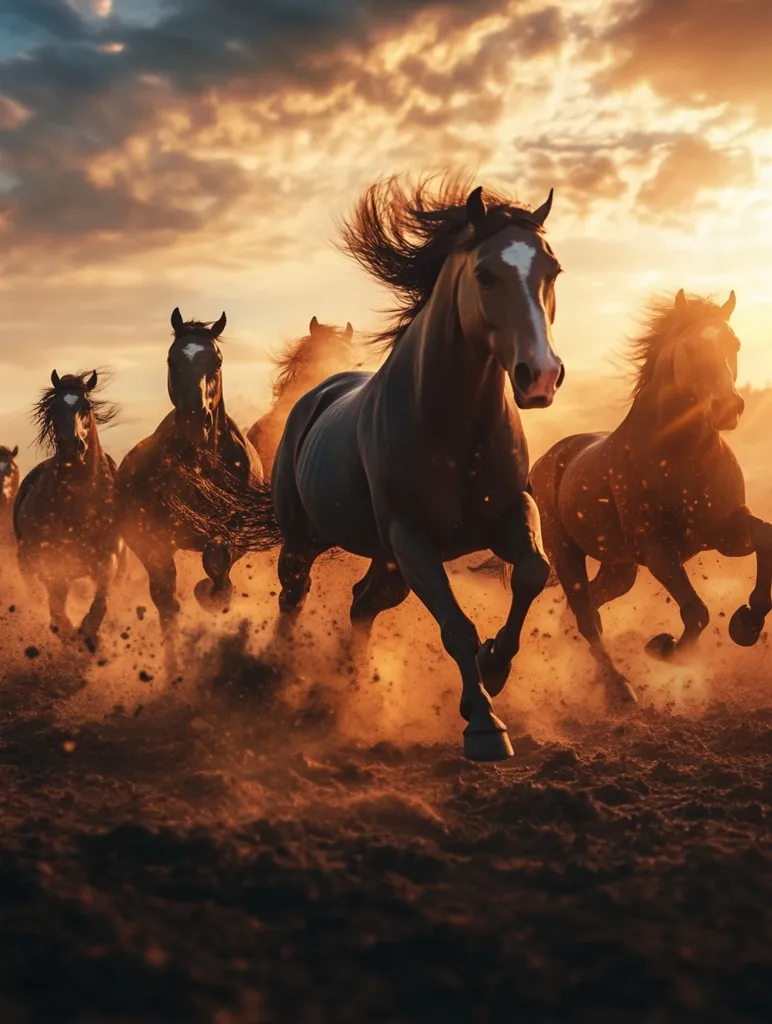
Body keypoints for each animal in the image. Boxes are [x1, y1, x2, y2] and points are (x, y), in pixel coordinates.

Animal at [14, 371, 123, 647]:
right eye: (54, 408)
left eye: (87, 406)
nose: (71, 448)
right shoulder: (53, 564)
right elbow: (57, 606)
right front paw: (70, 634)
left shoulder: (108, 558)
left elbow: (100, 602)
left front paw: (88, 634)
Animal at [115, 308, 264, 673]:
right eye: (172, 359)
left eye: (217, 360)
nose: (196, 420)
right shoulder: (152, 539)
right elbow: (171, 596)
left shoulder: (237, 534)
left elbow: (217, 568)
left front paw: (211, 595)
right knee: (166, 601)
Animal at [529, 289, 771, 704]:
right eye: (690, 347)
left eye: (734, 344)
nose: (727, 408)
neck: (681, 453)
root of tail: (548, 459)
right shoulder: (657, 549)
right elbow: (697, 612)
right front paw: (662, 647)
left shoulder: (726, 532)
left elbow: (765, 536)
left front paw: (747, 623)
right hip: (566, 552)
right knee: (586, 617)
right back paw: (620, 689)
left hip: (620, 569)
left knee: (582, 611)